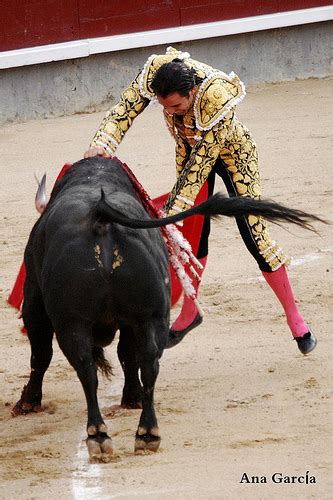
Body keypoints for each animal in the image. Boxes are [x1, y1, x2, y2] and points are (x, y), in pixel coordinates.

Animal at [13, 157, 324, 460]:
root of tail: (101, 216)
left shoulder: (35, 304)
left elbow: (41, 355)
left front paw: (28, 402)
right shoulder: (133, 319)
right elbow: (128, 355)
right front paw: (132, 397)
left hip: (72, 322)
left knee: (85, 368)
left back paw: (99, 435)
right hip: (149, 315)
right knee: (147, 361)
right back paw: (147, 433)